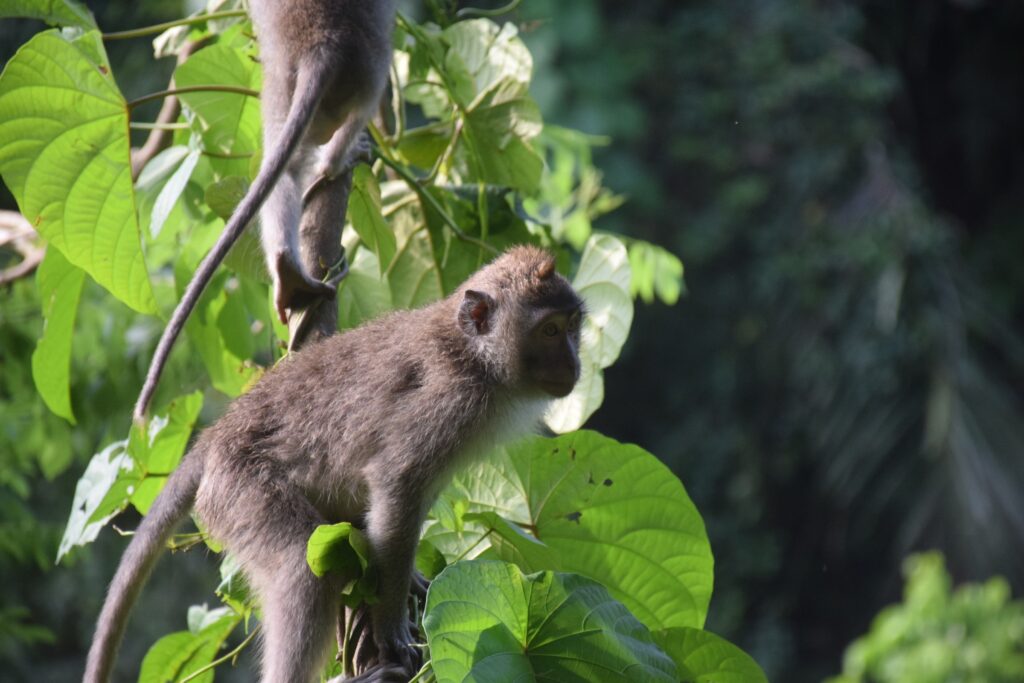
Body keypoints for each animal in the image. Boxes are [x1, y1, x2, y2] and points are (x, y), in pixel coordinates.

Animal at [85, 246, 585, 683]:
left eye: (572, 326)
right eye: (549, 331)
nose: (575, 363)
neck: (475, 359)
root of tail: (215, 437)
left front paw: (408, 582)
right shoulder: (446, 402)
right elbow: (397, 482)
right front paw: (390, 627)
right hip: (239, 488)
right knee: (302, 569)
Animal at [133, 0, 397, 423]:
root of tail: (322, 44)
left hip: (277, 86)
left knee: (282, 169)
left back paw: (290, 276)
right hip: (364, 73)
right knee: (359, 107)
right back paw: (336, 162)